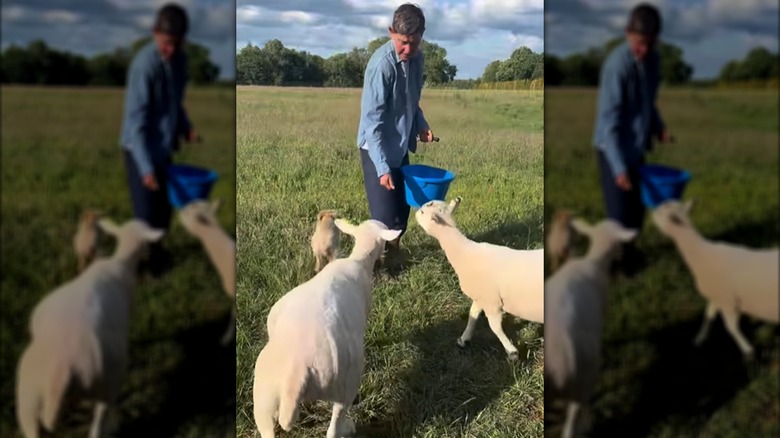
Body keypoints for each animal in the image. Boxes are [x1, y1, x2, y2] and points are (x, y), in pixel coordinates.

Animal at [16, 218, 164, 438]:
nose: (149, 254)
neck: (120, 261)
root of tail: (60, 372)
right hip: (106, 383)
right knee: (100, 419)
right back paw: (109, 425)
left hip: (28, 404)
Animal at [252, 218, 401, 438]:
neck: (358, 260)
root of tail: (296, 376)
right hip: (343, 385)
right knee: (335, 424)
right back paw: (348, 427)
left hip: (264, 400)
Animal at [414, 196, 544, 361]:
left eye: (423, 211)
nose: (414, 213)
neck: (464, 252)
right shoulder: (480, 297)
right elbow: (472, 315)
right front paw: (464, 339)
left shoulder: (491, 302)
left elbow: (494, 327)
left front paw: (512, 352)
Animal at [650, 198, 779, 360]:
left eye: (661, 212)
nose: (650, 212)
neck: (701, 254)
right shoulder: (716, 297)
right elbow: (708, 316)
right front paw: (700, 338)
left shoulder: (727, 300)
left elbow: (731, 328)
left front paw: (748, 351)